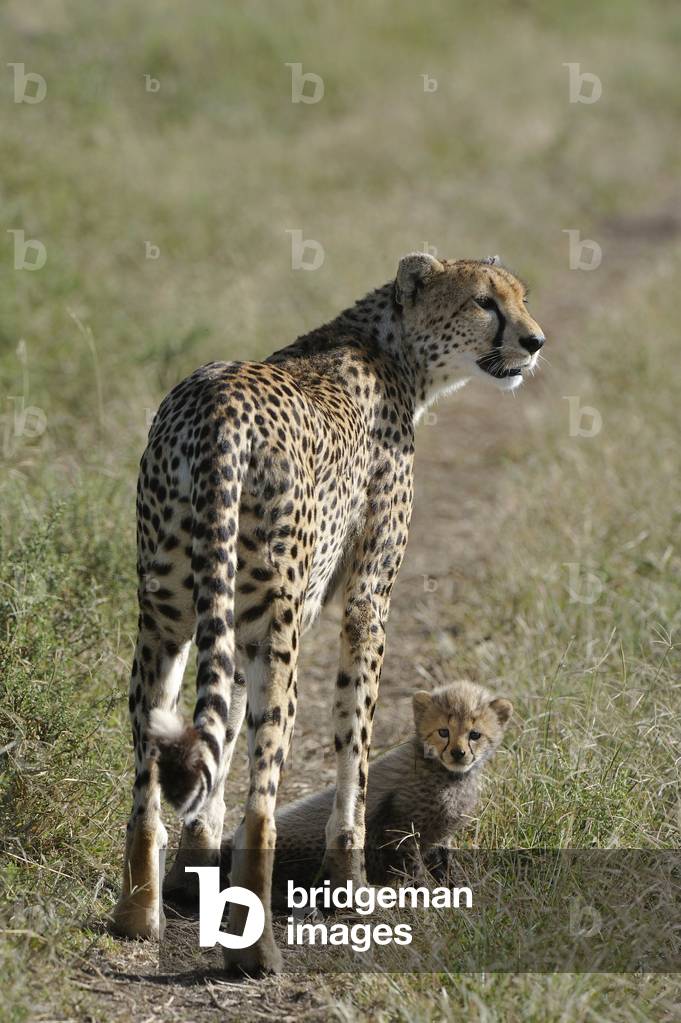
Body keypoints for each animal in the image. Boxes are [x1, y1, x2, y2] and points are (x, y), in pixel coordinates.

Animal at [111, 251, 544, 975]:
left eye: (520, 297)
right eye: (484, 302)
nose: (534, 342)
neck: (392, 348)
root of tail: (216, 402)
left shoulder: (232, 624)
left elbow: (218, 738)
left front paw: (192, 874)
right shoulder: (367, 598)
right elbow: (354, 740)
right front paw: (351, 882)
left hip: (166, 615)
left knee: (152, 767)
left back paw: (136, 915)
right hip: (277, 630)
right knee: (263, 795)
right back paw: (254, 948)